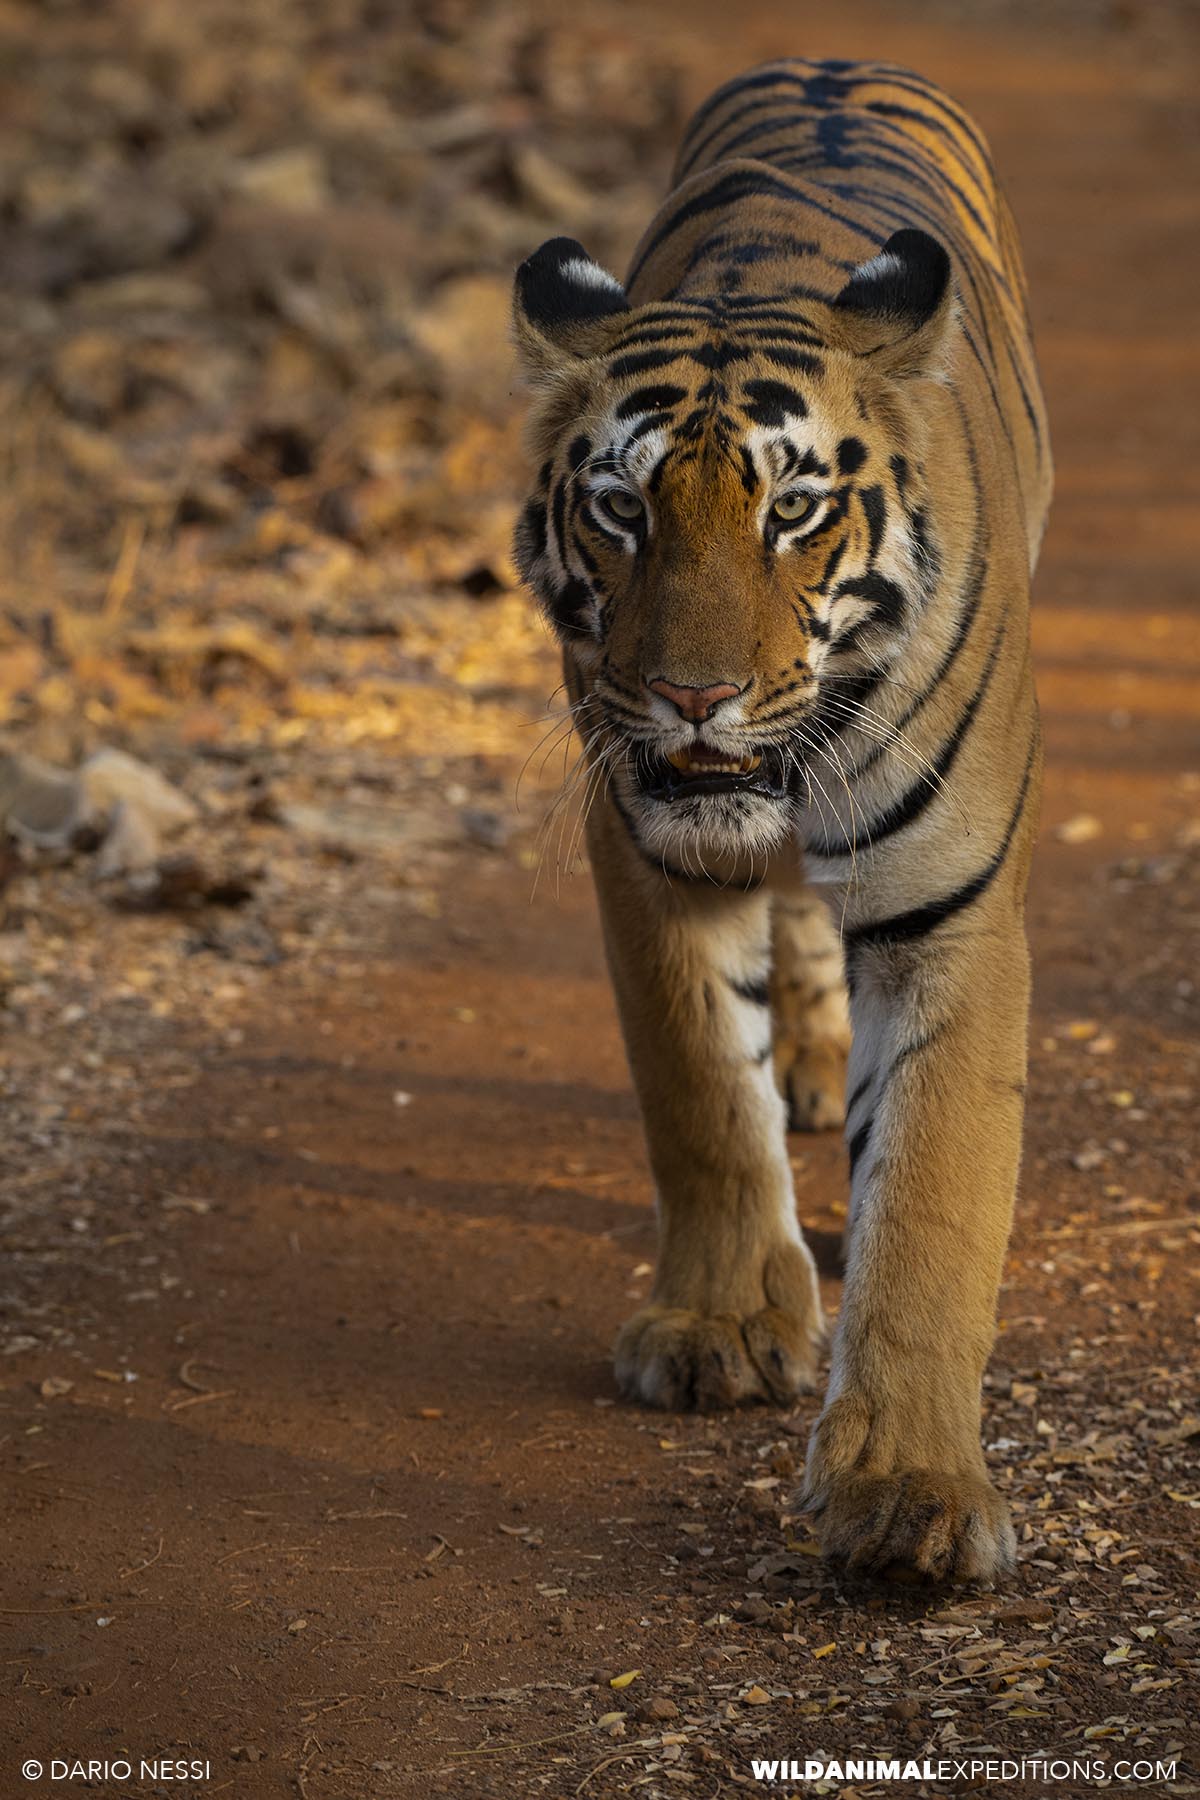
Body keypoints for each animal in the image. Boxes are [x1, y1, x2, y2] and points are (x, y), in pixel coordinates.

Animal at [511, 58, 1050, 1584]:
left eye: (795, 511)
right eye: (621, 508)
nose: (694, 695)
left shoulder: (951, 911)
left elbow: (934, 1196)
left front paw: (911, 1490)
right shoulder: (646, 847)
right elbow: (697, 1081)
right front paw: (721, 1327)